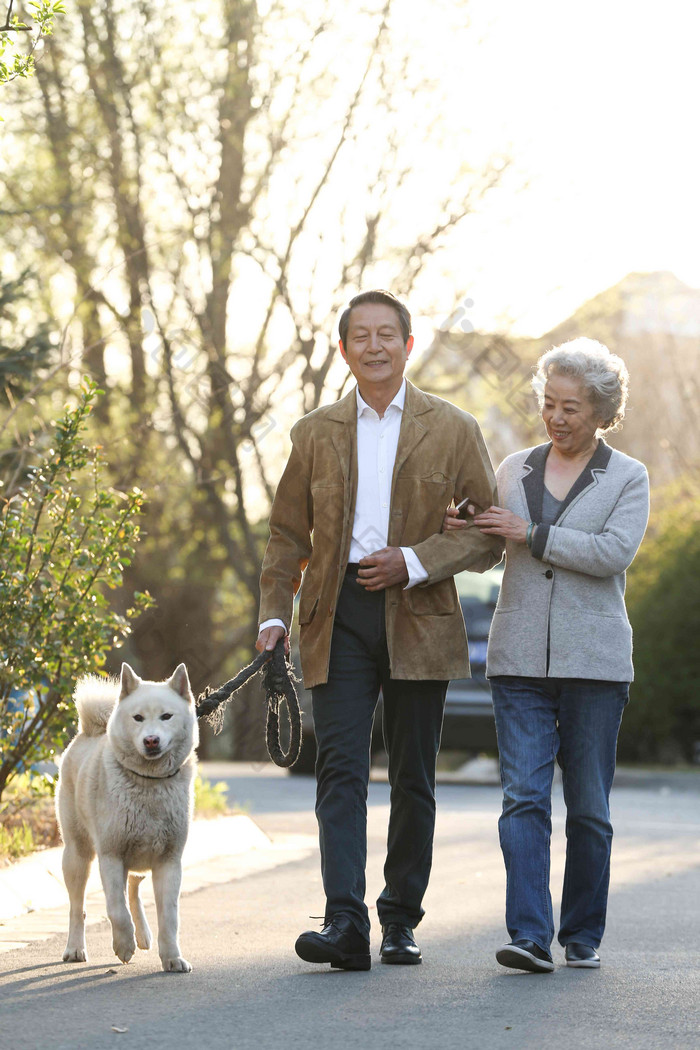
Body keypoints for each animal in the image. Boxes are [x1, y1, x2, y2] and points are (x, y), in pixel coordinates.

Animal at [55, 663, 198, 974]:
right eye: (138, 718)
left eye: (166, 716)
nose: (151, 739)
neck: (149, 783)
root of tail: (89, 731)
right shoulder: (111, 856)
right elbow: (116, 909)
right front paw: (124, 946)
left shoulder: (169, 861)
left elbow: (169, 918)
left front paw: (172, 957)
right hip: (77, 856)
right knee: (77, 907)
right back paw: (75, 948)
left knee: (133, 887)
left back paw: (143, 935)